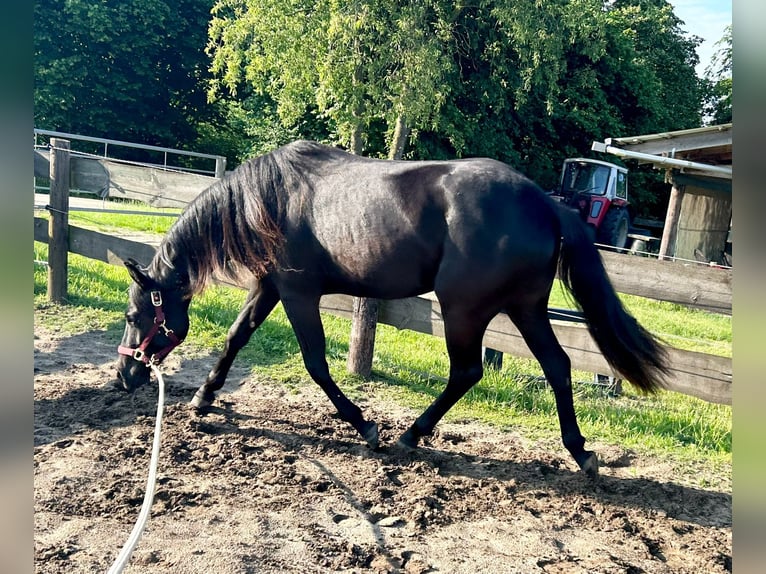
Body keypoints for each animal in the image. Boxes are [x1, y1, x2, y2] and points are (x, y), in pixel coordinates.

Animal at [117, 141, 668, 476]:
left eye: (132, 316)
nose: (124, 375)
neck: (269, 199)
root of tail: (549, 204)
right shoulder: (270, 286)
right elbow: (236, 337)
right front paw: (203, 398)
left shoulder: (298, 294)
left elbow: (315, 363)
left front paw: (365, 426)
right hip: (526, 308)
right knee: (557, 365)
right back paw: (580, 451)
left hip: (463, 310)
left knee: (467, 371)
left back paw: (410, 435)